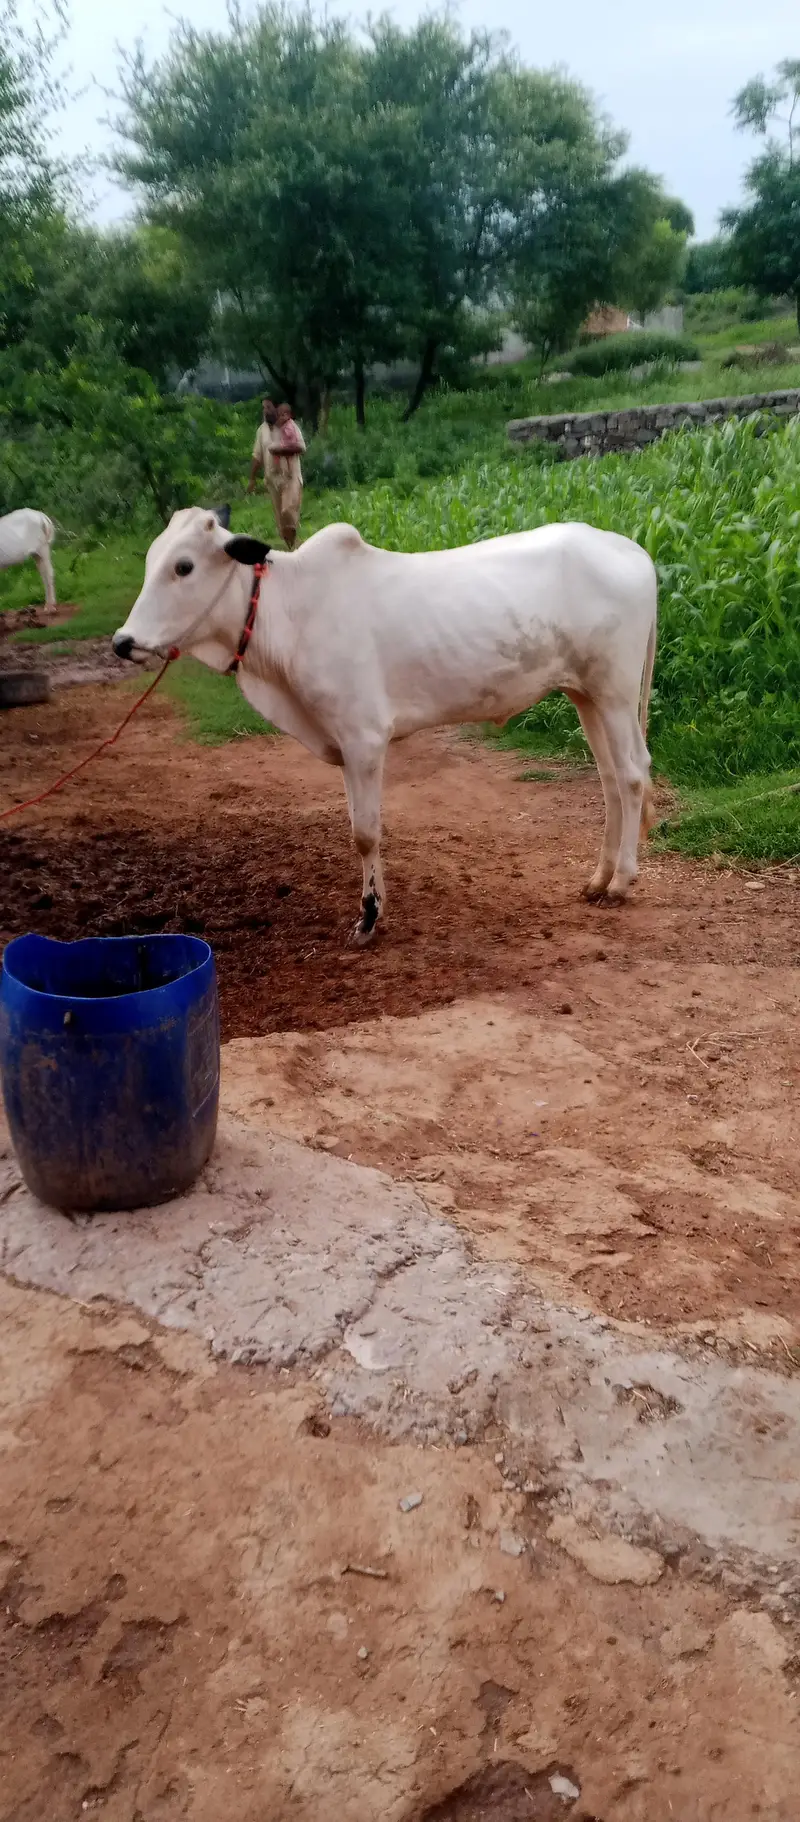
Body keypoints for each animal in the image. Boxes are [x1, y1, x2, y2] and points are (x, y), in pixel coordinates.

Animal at [112, 508, 658, 945]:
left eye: (183, 566)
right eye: (151, 561)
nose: (123, 641)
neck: (287, 614)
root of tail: (634, 552)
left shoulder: (364, 739)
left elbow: (365, 834)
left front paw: (370, 918)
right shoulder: (341, 743)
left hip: (615, 691)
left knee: (633, 775)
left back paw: (621, 883)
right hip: (585, 694)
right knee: (610, 779)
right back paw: (598, 878)